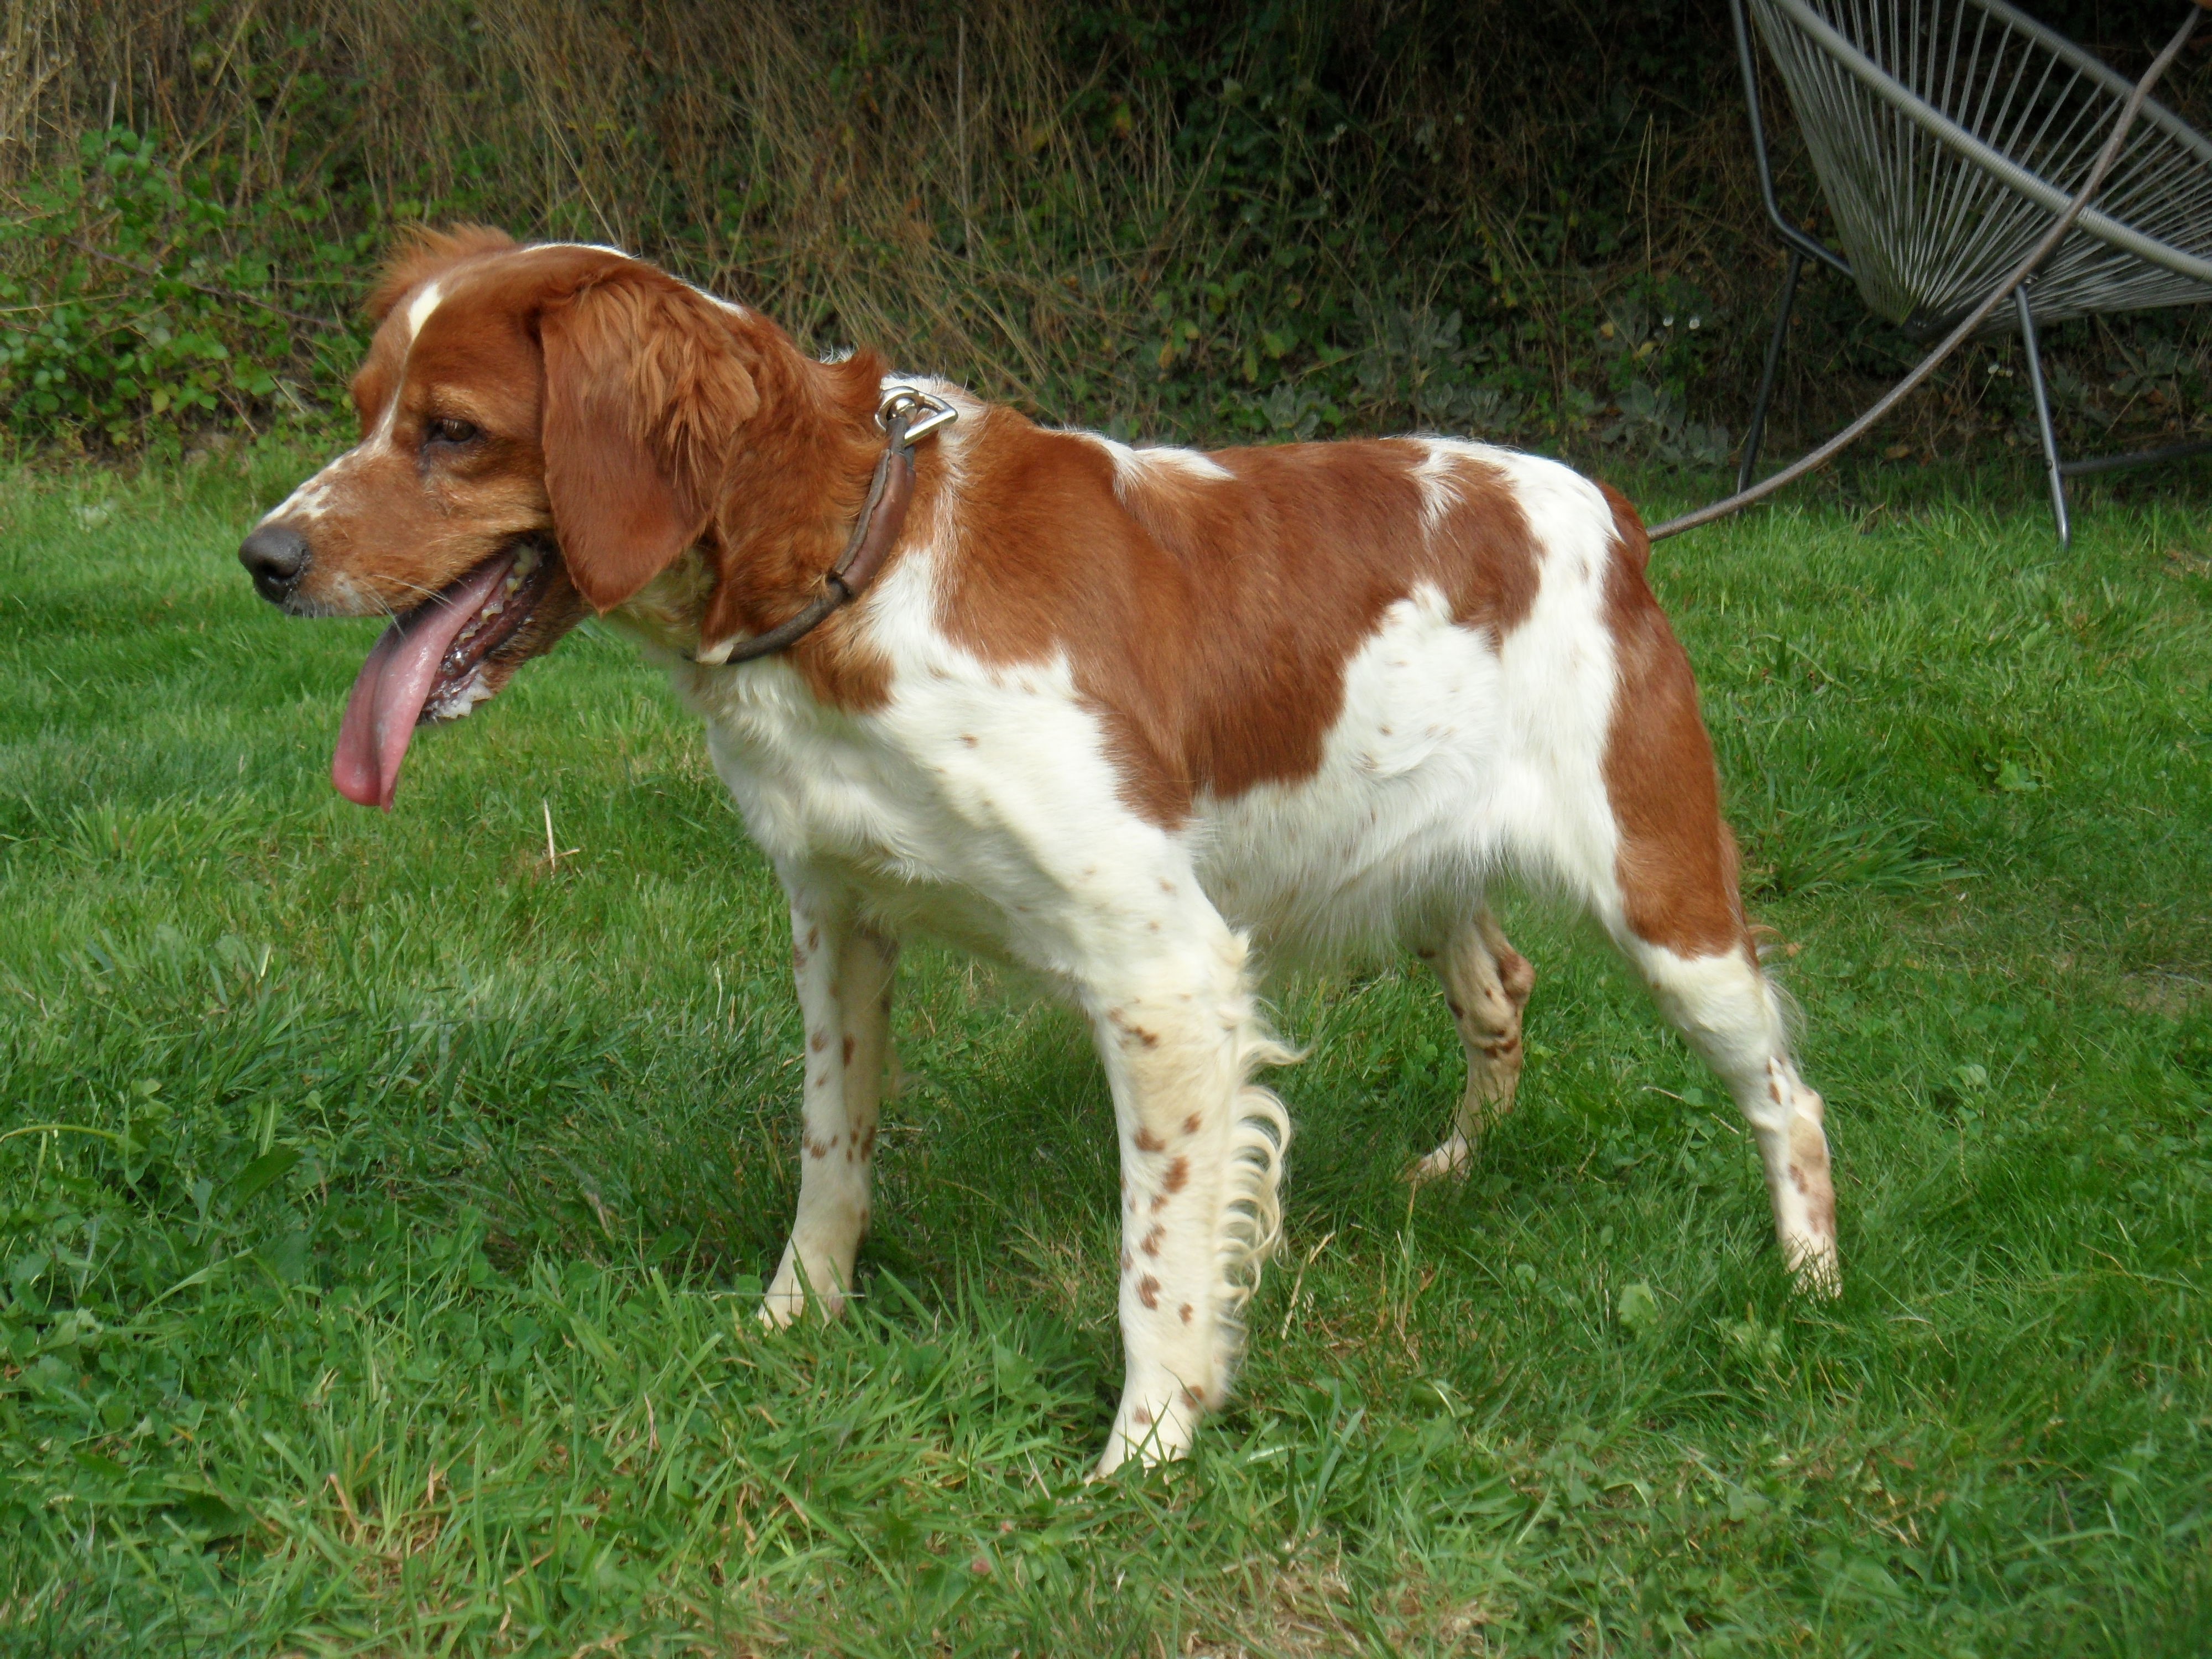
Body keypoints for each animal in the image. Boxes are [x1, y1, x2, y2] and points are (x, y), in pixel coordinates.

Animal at [238, 228, 1832, 1478]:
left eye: (453, 432)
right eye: (365, 410)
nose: (260, 559)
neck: (855, 567)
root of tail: (1607, 510)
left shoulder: (1163, 972)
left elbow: (1158, 1260)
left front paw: (1147, 1453)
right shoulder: (836, 916)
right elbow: (831, 1152)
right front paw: (789, 1327)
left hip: (1665, 898)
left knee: (1788, 1097)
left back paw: (1808, 1284)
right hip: (1415, 867)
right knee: (1501, 988)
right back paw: (1452, 1167)